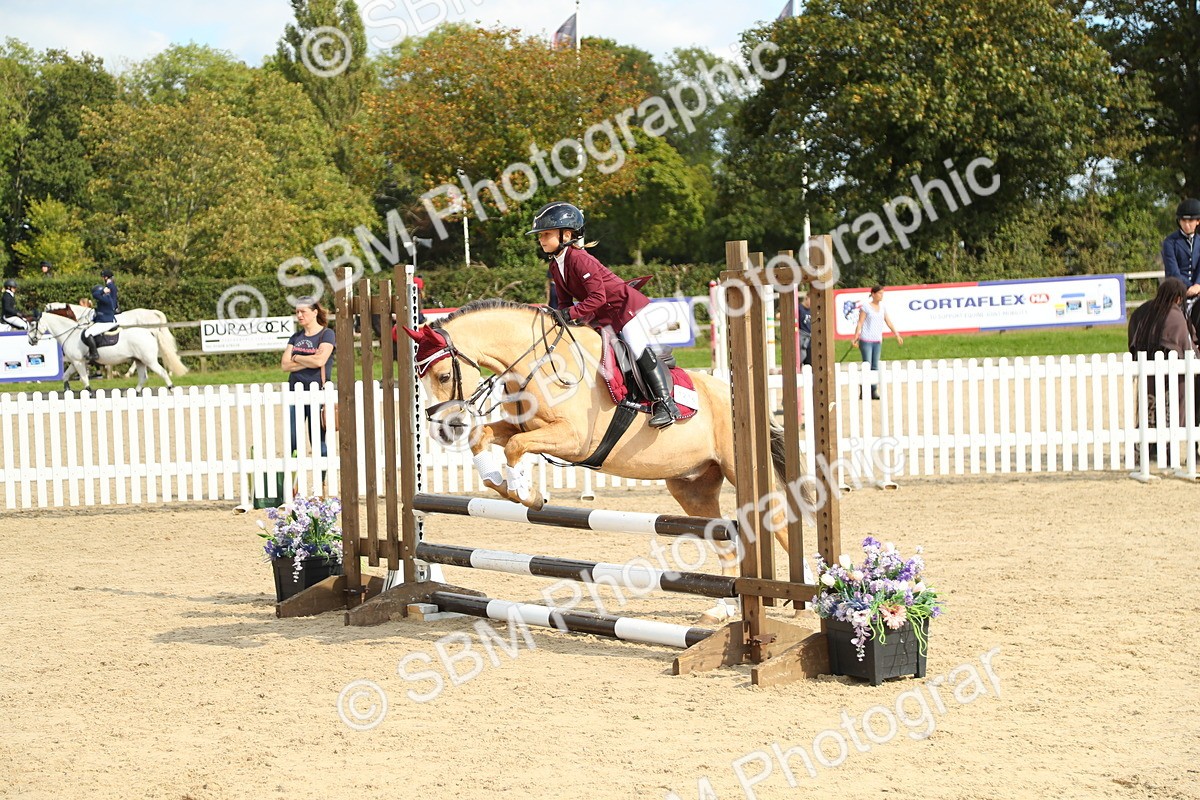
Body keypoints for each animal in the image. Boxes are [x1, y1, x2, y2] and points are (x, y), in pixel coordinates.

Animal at [30, 309, 186, 391]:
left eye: (32, 324)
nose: (31, 341)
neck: (71, 333)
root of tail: (149, 332)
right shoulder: (76, 363)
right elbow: (65, 376)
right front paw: (67, 390)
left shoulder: (79, 362)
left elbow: (85, 381)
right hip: (140, 360)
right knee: (143, 377)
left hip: (149, 360)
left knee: (162, 372)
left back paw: (171, 388)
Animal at [403, 299, 812, 622]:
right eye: (419, 378)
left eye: (444, 375)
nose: (444, 431)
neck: (538, 363)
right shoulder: (522, 425)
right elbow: (487, 438)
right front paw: (501, 483)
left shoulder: (572, 438)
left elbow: (516, 447)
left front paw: (524, 491)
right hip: (691, 488)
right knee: (723, 535)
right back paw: (723, 610)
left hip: (736, 468)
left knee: (775, 519)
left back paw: (803, 590)